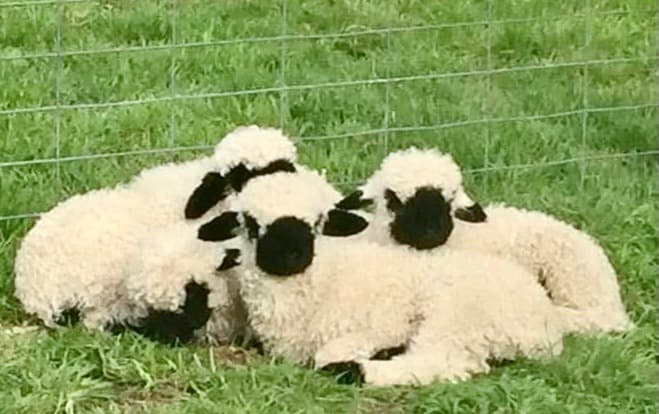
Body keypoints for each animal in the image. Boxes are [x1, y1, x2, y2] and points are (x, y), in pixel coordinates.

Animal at [199, 170, 564, 386]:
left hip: (453, 314)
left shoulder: (384, 323)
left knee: (445, 361)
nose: (290, 253)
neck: (319, 286)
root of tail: (543, 319)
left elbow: (328, 352)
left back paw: (361, 369)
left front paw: (371, 353)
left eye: (317, 223)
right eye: (249, 223)